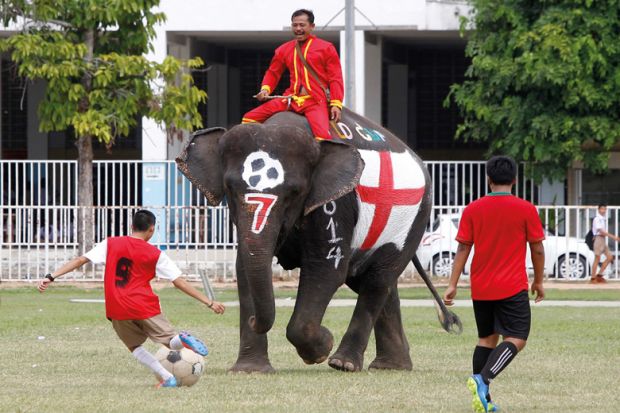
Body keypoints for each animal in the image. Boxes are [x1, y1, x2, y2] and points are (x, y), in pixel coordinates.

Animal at [176, 108, 432, 372]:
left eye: (295, 192)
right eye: (229, 188)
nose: (253, 318)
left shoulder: (335, 204)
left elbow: (325, 269)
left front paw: (322, 347)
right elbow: (244, 268)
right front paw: (249, 370)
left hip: (414, 219)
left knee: (377, 280)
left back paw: (343, 363)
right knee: (372, 280)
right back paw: (391, 366)